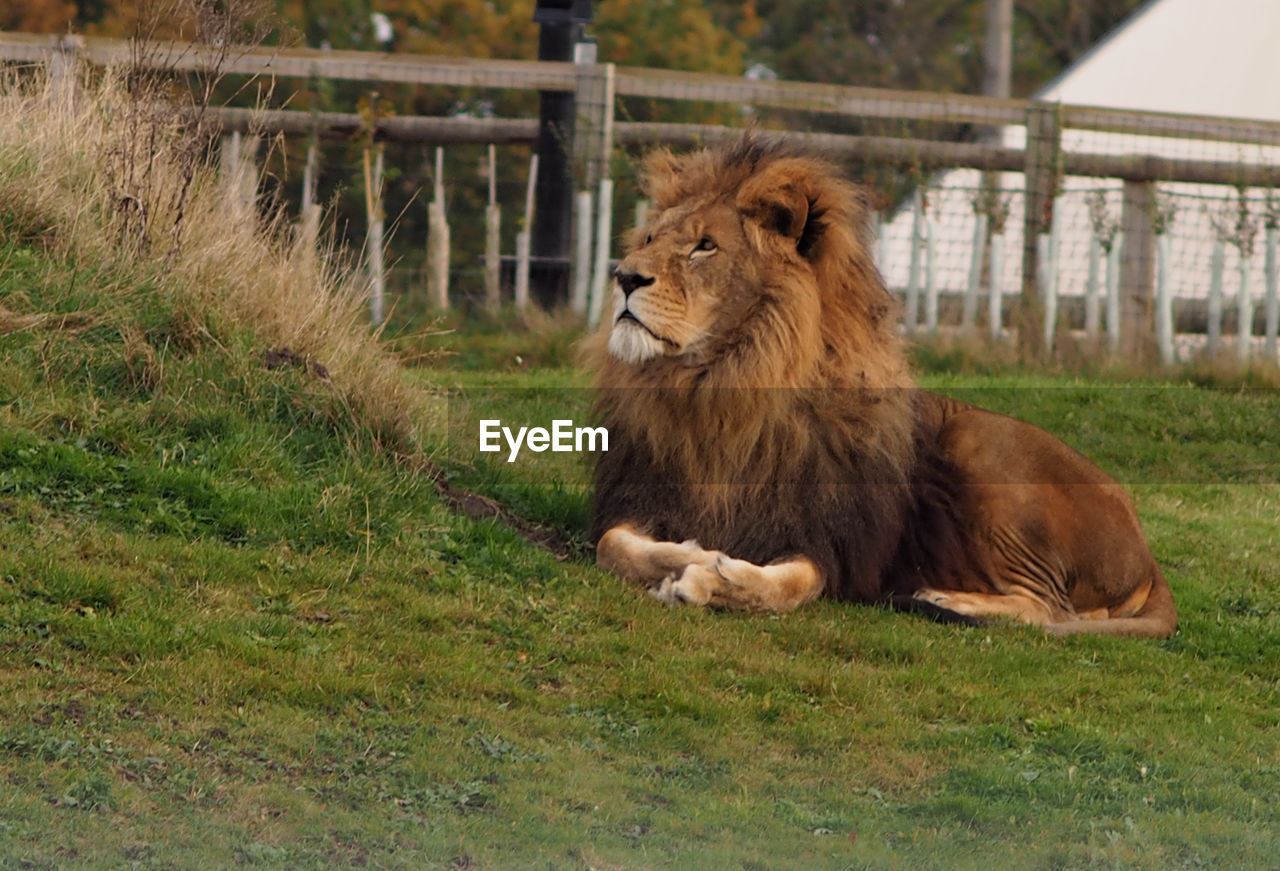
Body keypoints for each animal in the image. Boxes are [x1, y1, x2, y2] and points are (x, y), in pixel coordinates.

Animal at [586, 135, 1172, 640]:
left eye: (705, 246)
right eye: (648, 240)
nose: (623, 276)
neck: (722, 386)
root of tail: (1148, 553)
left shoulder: (829, 542)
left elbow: (787, 586)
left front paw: (713, 576)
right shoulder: (636, 500)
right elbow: (613, 545)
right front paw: (688, 555)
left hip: (981, 445)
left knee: (1049, 609)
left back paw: (946, 599)